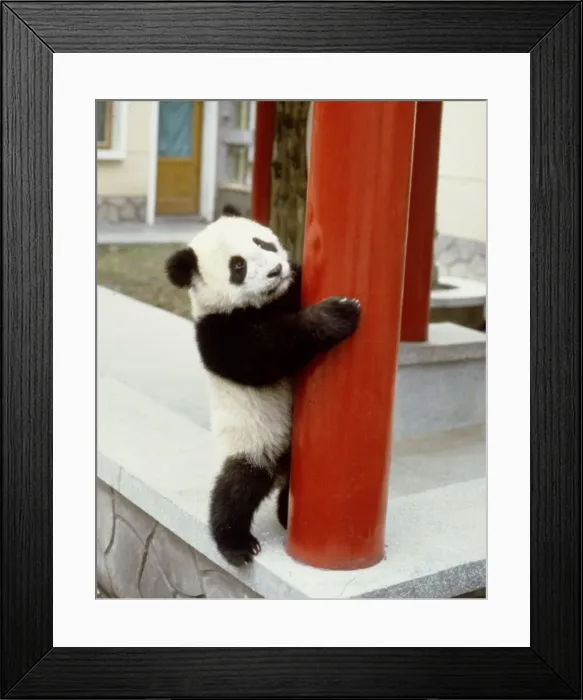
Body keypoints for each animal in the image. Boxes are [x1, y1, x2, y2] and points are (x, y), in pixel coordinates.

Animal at [165, 211, 361, 567]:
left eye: (263, 243)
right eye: (238, 266)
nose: (275, 271)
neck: (265, 304)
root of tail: (280, 469)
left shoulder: (290, 289)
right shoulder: (217, 330)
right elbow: (263, 354)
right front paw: (336, 314)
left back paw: (284, 513)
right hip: (253, 441)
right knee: (236, 488)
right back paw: (237, 543)